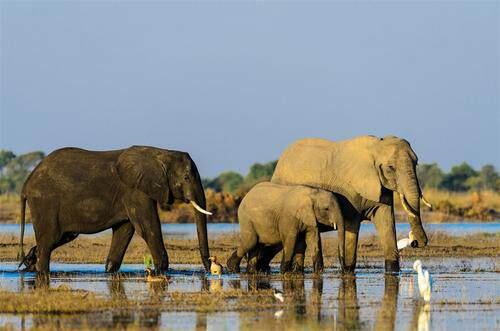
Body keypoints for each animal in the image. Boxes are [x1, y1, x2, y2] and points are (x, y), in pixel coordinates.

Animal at [18, 146, 211, 274]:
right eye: (186, 178)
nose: (212, 270)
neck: (161, 153)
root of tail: (26, 183)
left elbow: (124, 231)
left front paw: (110, 270)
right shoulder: (135, 190)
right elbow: (148, 228)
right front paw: (161, 271)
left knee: (62, 236)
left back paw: (29, 263)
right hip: (45, 203)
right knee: (49, 240)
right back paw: (41, 270)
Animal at [258, 136, 430, 274]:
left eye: (416, 163)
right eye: (391, 168)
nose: (415, 243)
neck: (376, 147)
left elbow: (386, 221)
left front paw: (392, 271)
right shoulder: (349, 190)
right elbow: (351, 225)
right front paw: (347, 270)